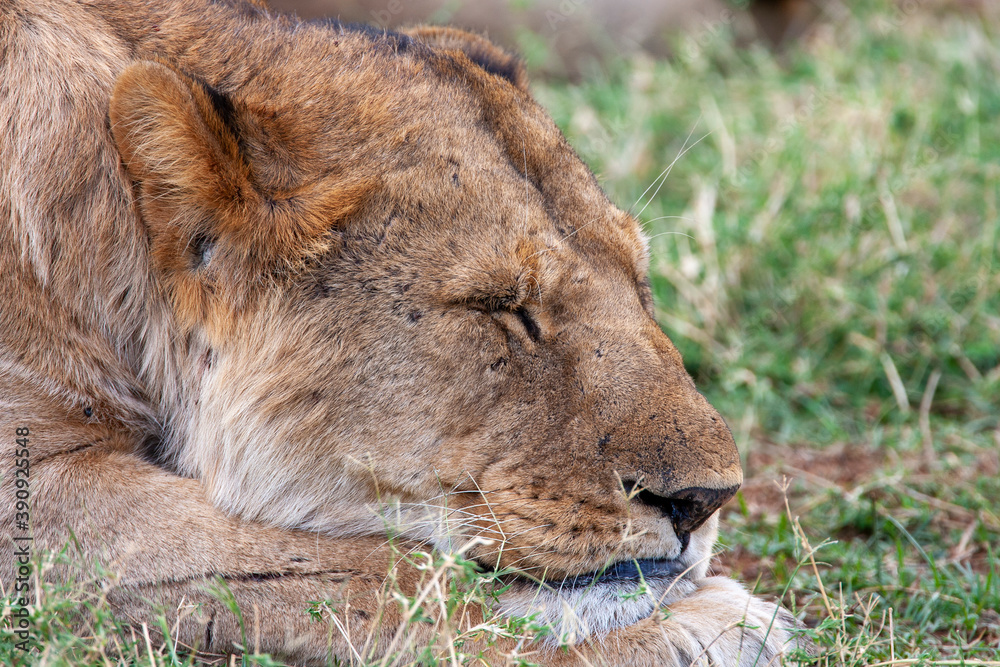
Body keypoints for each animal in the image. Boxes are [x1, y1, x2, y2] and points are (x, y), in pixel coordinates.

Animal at [0, 0, 803, 663]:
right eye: (500, 306)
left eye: (639, 281)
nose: (705, 500)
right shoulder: (38, 483)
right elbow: (363, 569)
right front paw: (692, 626)